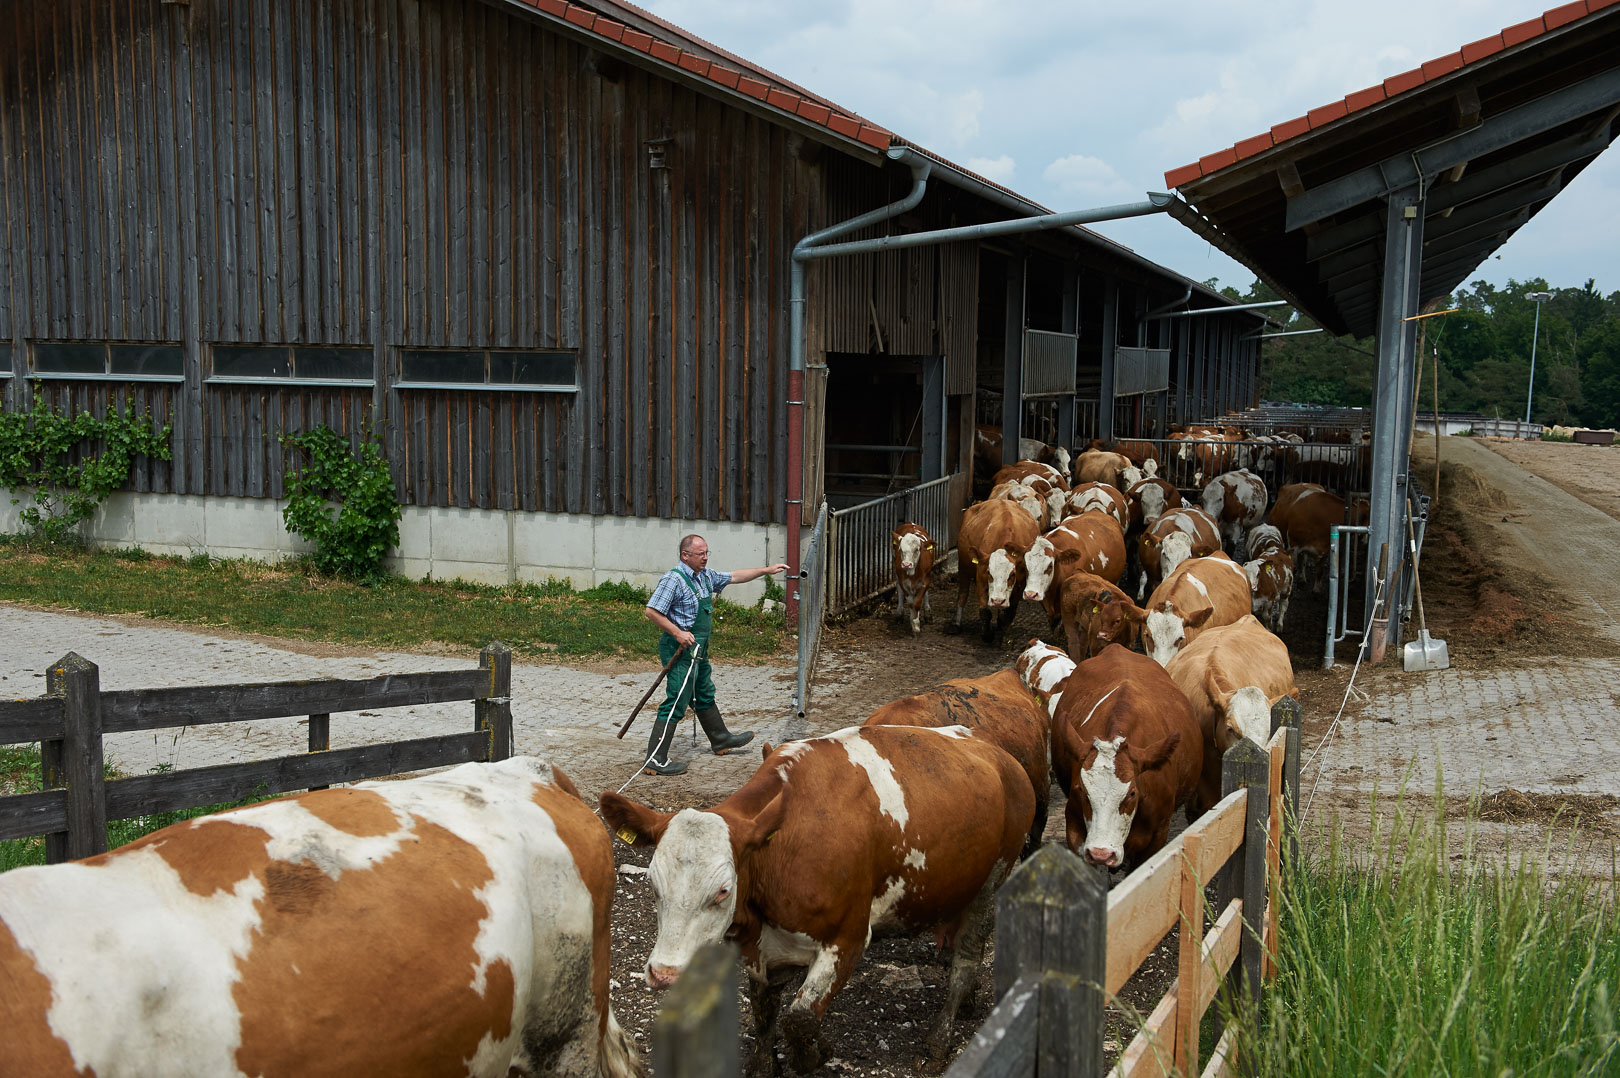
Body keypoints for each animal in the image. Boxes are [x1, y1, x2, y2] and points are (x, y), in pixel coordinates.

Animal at [946, 496, 1036, 638]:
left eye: (1013, 574)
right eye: (989, 572)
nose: (997, 601)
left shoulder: (1020, 584)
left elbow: (1009, 614)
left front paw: (1004, 634)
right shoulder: (981, 576)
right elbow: (985, 611)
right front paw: (987, 635)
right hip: (964, 566)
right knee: (963, 594)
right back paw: (956, 625)